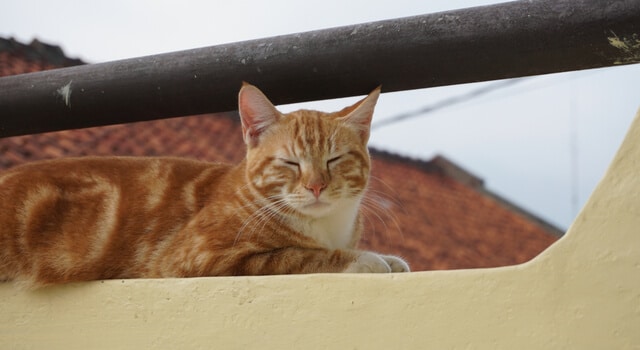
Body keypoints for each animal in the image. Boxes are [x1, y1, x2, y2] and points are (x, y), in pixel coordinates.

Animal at [0, 83, 410, 288]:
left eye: (334, 160)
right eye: (290, 162)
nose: (316, 187)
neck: (327, 226)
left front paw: (389, 258)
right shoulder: (194, 258)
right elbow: (299, 256)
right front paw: (365, 259)